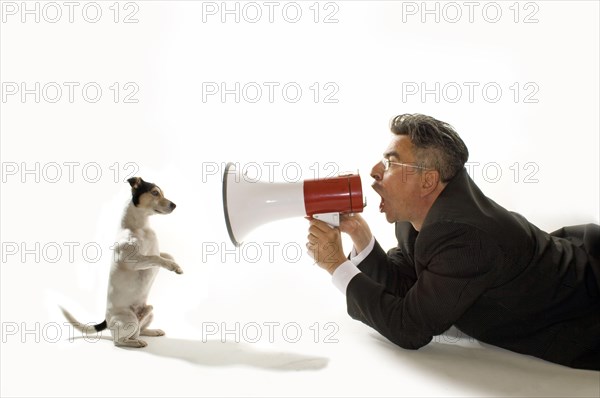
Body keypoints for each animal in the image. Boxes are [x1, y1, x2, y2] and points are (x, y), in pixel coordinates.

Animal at [61, 177, 184, 348]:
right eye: (155, 193)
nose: (174, 205)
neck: (142, 228)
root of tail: (108, 321)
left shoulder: (154, 252)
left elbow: (165, 255)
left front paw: (176, 266)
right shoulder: (136, 261)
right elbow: (156, 258)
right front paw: (172, 266)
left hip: (150, 313)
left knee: (140, 329)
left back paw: (152, 331)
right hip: (128, 320)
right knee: (119, 341)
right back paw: (137, 343)